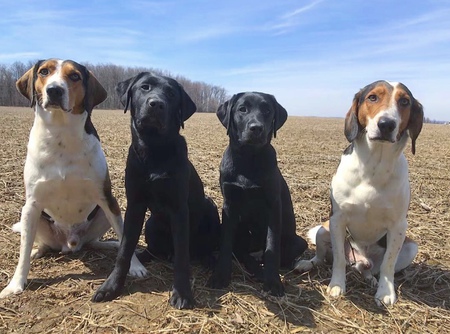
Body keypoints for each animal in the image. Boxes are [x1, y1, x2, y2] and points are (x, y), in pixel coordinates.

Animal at [0, 58, 147, 298]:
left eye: (75, 76)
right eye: (44, 72)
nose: (54, 90)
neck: (61, 133)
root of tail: (70, 243)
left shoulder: (107, 198)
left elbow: (126, 237)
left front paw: (135, 266)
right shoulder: (32, 203)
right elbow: (22, 252)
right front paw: (15, 284)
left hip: (106, 212)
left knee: (95, 242)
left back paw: (111, 245)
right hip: (33, 216)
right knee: (38, 243)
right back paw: (35, 251)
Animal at [91, 72, 220, 310]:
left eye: (171, 94)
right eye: (145, 87)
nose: (156, 104)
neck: (154, 149)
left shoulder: (179, 210)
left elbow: (182, 257)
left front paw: (182, 293)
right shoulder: (135, 205)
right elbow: (124, 250)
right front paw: (111, 286)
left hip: (210, 206)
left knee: (198, 249)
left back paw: (208, 259)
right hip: (150, 223)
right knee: (153, 249)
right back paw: (144, 255)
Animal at [208, 92, 308, 296]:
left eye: (267, 110)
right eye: (242, 109)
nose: (256, 128)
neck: (249, 159)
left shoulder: (273, 206)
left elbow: (272, 247)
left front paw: (273, 282)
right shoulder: (229, 206)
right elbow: (226, 244)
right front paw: (220, 276)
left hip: (298, 242)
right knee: (241, 251)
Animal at [296, 80, 422, 306]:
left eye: (405, 101)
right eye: (372, 97)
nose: (386, 124)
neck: (374, 166)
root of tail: (359, 259)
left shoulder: (399, 226)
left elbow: (388, 264)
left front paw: (385, 293)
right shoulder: (337, 219)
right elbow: (338, 258)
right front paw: (337, 286)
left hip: (410, 248)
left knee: (373, 268)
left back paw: (371, 278)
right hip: (323, 231)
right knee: (322, 258)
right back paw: (307, 263)